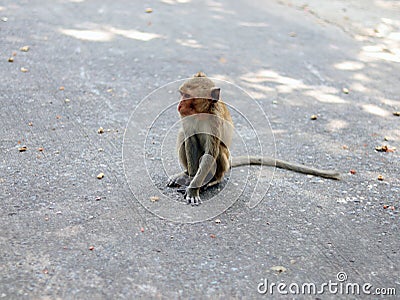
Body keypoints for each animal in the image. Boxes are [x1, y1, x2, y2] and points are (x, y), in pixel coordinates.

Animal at [166, 71, 340, 205]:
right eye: (182, 94)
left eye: (187, 96)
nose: (179, 106)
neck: (203, 113)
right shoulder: (187, 117)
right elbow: (190, 140)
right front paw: (190, 179)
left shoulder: (215, 120)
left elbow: (210, 153)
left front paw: (194, 188)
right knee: (182, 135)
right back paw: (186, 174)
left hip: (224, 163)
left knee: (219, 153)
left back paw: (212, 181)